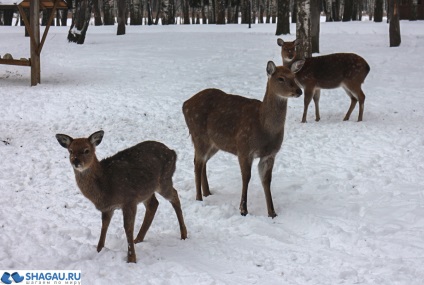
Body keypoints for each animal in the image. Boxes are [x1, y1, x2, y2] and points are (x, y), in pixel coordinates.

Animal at [56, 130, 187, 262]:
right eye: (70, 150)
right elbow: (104, 225)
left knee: (174, 195)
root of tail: (172, 152)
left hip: (164, 180)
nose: (76, 161)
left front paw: (131, 259)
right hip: (147, 190)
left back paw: (184, 234)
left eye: (86, 150)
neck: (105, 184)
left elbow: (128, 228)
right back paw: (138, 239)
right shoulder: (108, 208)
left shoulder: (129, 200)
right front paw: (99, 250)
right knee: (153, 204)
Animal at [181, 61, 304, 216]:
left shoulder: (270, 154)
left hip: (214, 144)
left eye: (294, 76)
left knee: (202, 162)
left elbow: (267, 180)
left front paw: (272, 212)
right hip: (199, 136)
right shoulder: (244, 148)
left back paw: (207, 192)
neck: (263, 127)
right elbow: (246, 178)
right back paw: (199, 198)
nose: (299, 91)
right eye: (280, 78)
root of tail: (185, 104)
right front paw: (243, 210)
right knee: (197, 163)